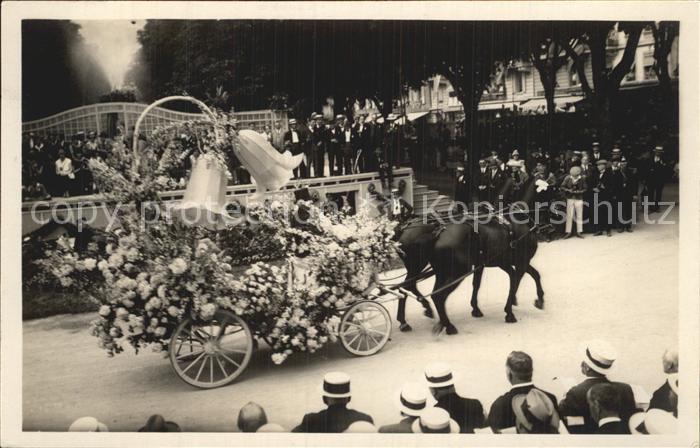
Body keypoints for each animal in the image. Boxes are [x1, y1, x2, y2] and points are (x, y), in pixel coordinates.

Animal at [396, 175, 544, 336]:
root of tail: (438, 232)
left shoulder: (497, 264)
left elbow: (528, 276)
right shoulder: (520, 262)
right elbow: (517, 281)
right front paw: (509, 311)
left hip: (435, 270)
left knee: (407, 288)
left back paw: (408, 320)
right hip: (454, 271)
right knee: (435, 294)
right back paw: (446, 324)